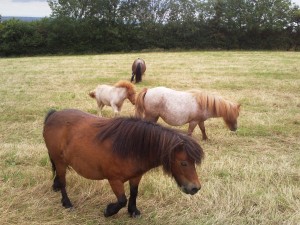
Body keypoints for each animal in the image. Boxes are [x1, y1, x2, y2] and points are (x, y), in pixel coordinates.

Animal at [42, 109, 204, 218]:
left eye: (194, 162)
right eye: (183, 163)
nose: (195, 188)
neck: (131, 147)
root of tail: (53, 114)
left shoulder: (136, 176)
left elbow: (134, 193)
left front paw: (133, 211)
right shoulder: (114, 180)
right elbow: (122, 200)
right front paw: (109, 211)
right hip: (60, 162)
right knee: (63, 181)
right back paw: (67, 203)